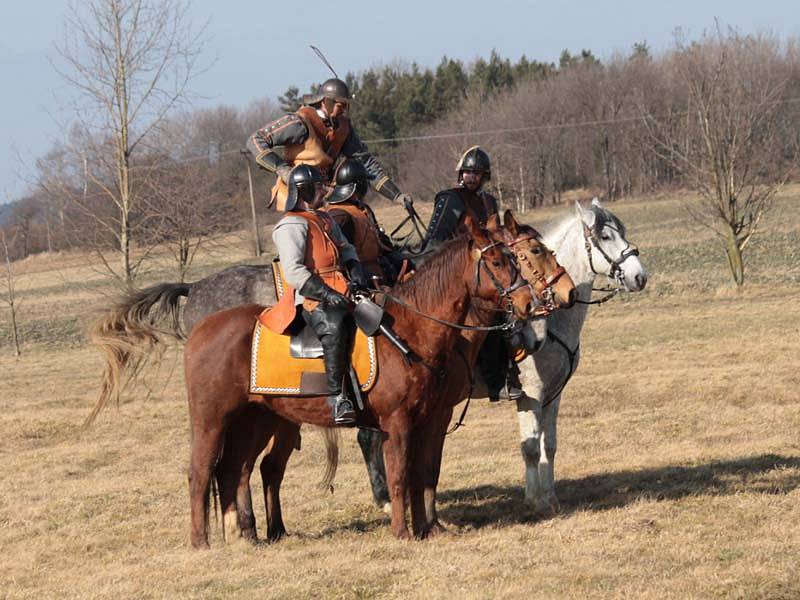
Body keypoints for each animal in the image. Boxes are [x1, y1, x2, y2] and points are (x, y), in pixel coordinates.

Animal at [185, 216, 536, 548]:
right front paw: (403, 532)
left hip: (255, 420)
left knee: (234, 470)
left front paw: (427, 529)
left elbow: (422, 474)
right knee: (201, 472)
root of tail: (200, 329)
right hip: (212, 421)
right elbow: (400, 476)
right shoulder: (398, 423)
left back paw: (246, 535)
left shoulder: (424, 421)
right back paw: (202, 541)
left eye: (515, 257)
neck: (412, 330)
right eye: (496, 262)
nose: (528, 302)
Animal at [516, 199, 648, 512]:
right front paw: (533, 500)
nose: (639, 277)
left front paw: (549, 496)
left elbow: (548, 444)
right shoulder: (530, 393)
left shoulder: (553, 393)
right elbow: (530, 446)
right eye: (605, 236)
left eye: (622, 232)